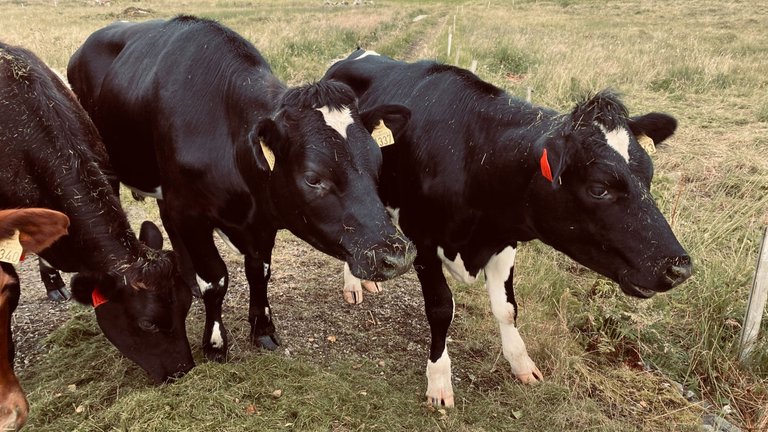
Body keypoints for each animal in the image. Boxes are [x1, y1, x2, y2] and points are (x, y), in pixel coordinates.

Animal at [65, 16, 414, 362]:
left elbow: (259, 271)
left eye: (378, 161)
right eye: (313, 178)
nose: (396, 255)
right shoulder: (190, 213)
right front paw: (215, 344)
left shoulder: (260, 219)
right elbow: (216, 279)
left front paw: (262, 330)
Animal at [320, 49, 692, 406]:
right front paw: (439, 382)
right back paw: (354, 284)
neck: (473, 155)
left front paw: (521, 363)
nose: (679, 267)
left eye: (648, 175)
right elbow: (440, 308)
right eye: (599, 188)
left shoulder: (503, 239)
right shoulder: (420, 236)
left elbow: (508, 309)